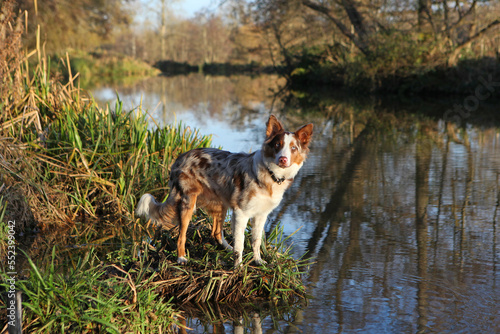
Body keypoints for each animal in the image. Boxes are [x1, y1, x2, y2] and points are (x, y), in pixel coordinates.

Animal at [136, 115, 312, 266]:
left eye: (293, 148)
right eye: (277, 145)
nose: (283, 159)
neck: (271, 174)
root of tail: (181, 156)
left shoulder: (261, 214)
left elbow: (256, 240)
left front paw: (257, 261)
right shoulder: (241, 212)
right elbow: (240, 244)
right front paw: (238, 267)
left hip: (221, 204)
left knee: (216, 232)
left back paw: (227, 248)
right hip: (188, 203)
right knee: (181, 235)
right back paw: (181, 257)